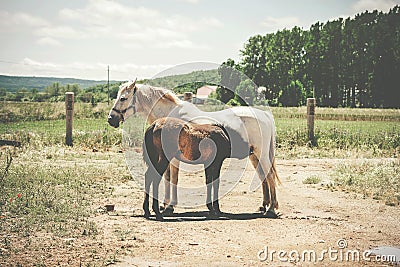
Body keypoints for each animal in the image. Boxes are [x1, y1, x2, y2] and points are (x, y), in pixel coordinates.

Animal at [108, 79, 280, 218]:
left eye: (123, 98)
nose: (111, 119)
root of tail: (264, 115)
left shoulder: (174, 159)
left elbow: (173, 179)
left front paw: (169, 206)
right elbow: (168, 178)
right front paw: (165, 205)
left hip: (261, 155)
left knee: (270, 175)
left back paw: (272, 208)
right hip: (254, 156)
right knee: (263, 176)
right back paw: (264, 206)